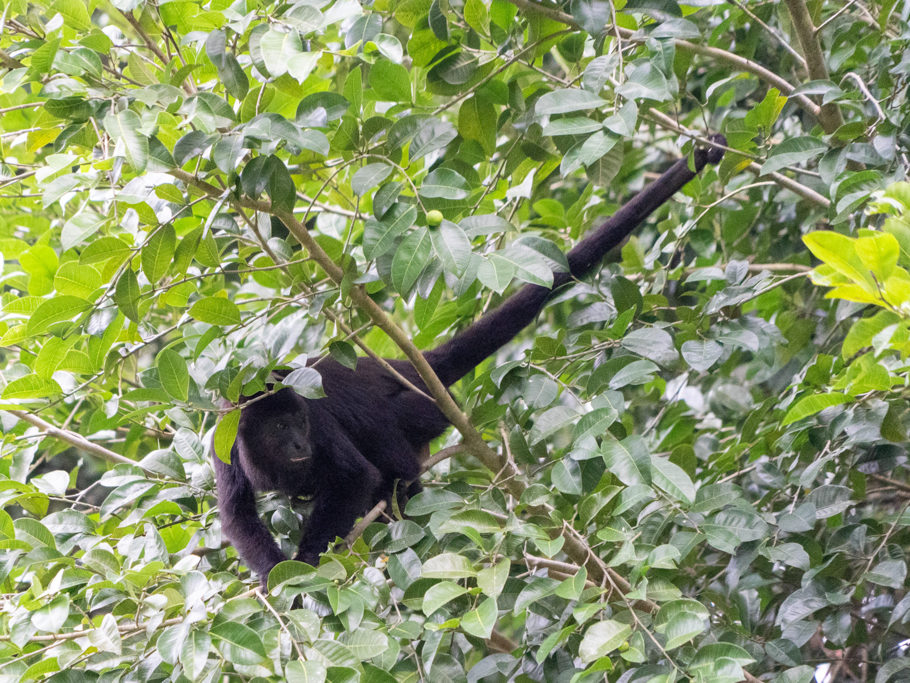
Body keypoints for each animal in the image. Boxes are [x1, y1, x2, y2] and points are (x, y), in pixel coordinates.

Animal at [212, 138, 728, 584]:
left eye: (299, 422)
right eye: (281, 428)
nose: (301, 443)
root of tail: (406, 365)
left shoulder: (317, 416)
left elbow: (354, 476)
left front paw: (304, 565)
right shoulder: (224, 437)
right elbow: (237, 514)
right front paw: (273, 574)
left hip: (422, 410)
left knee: (382, 436)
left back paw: (399, 494)